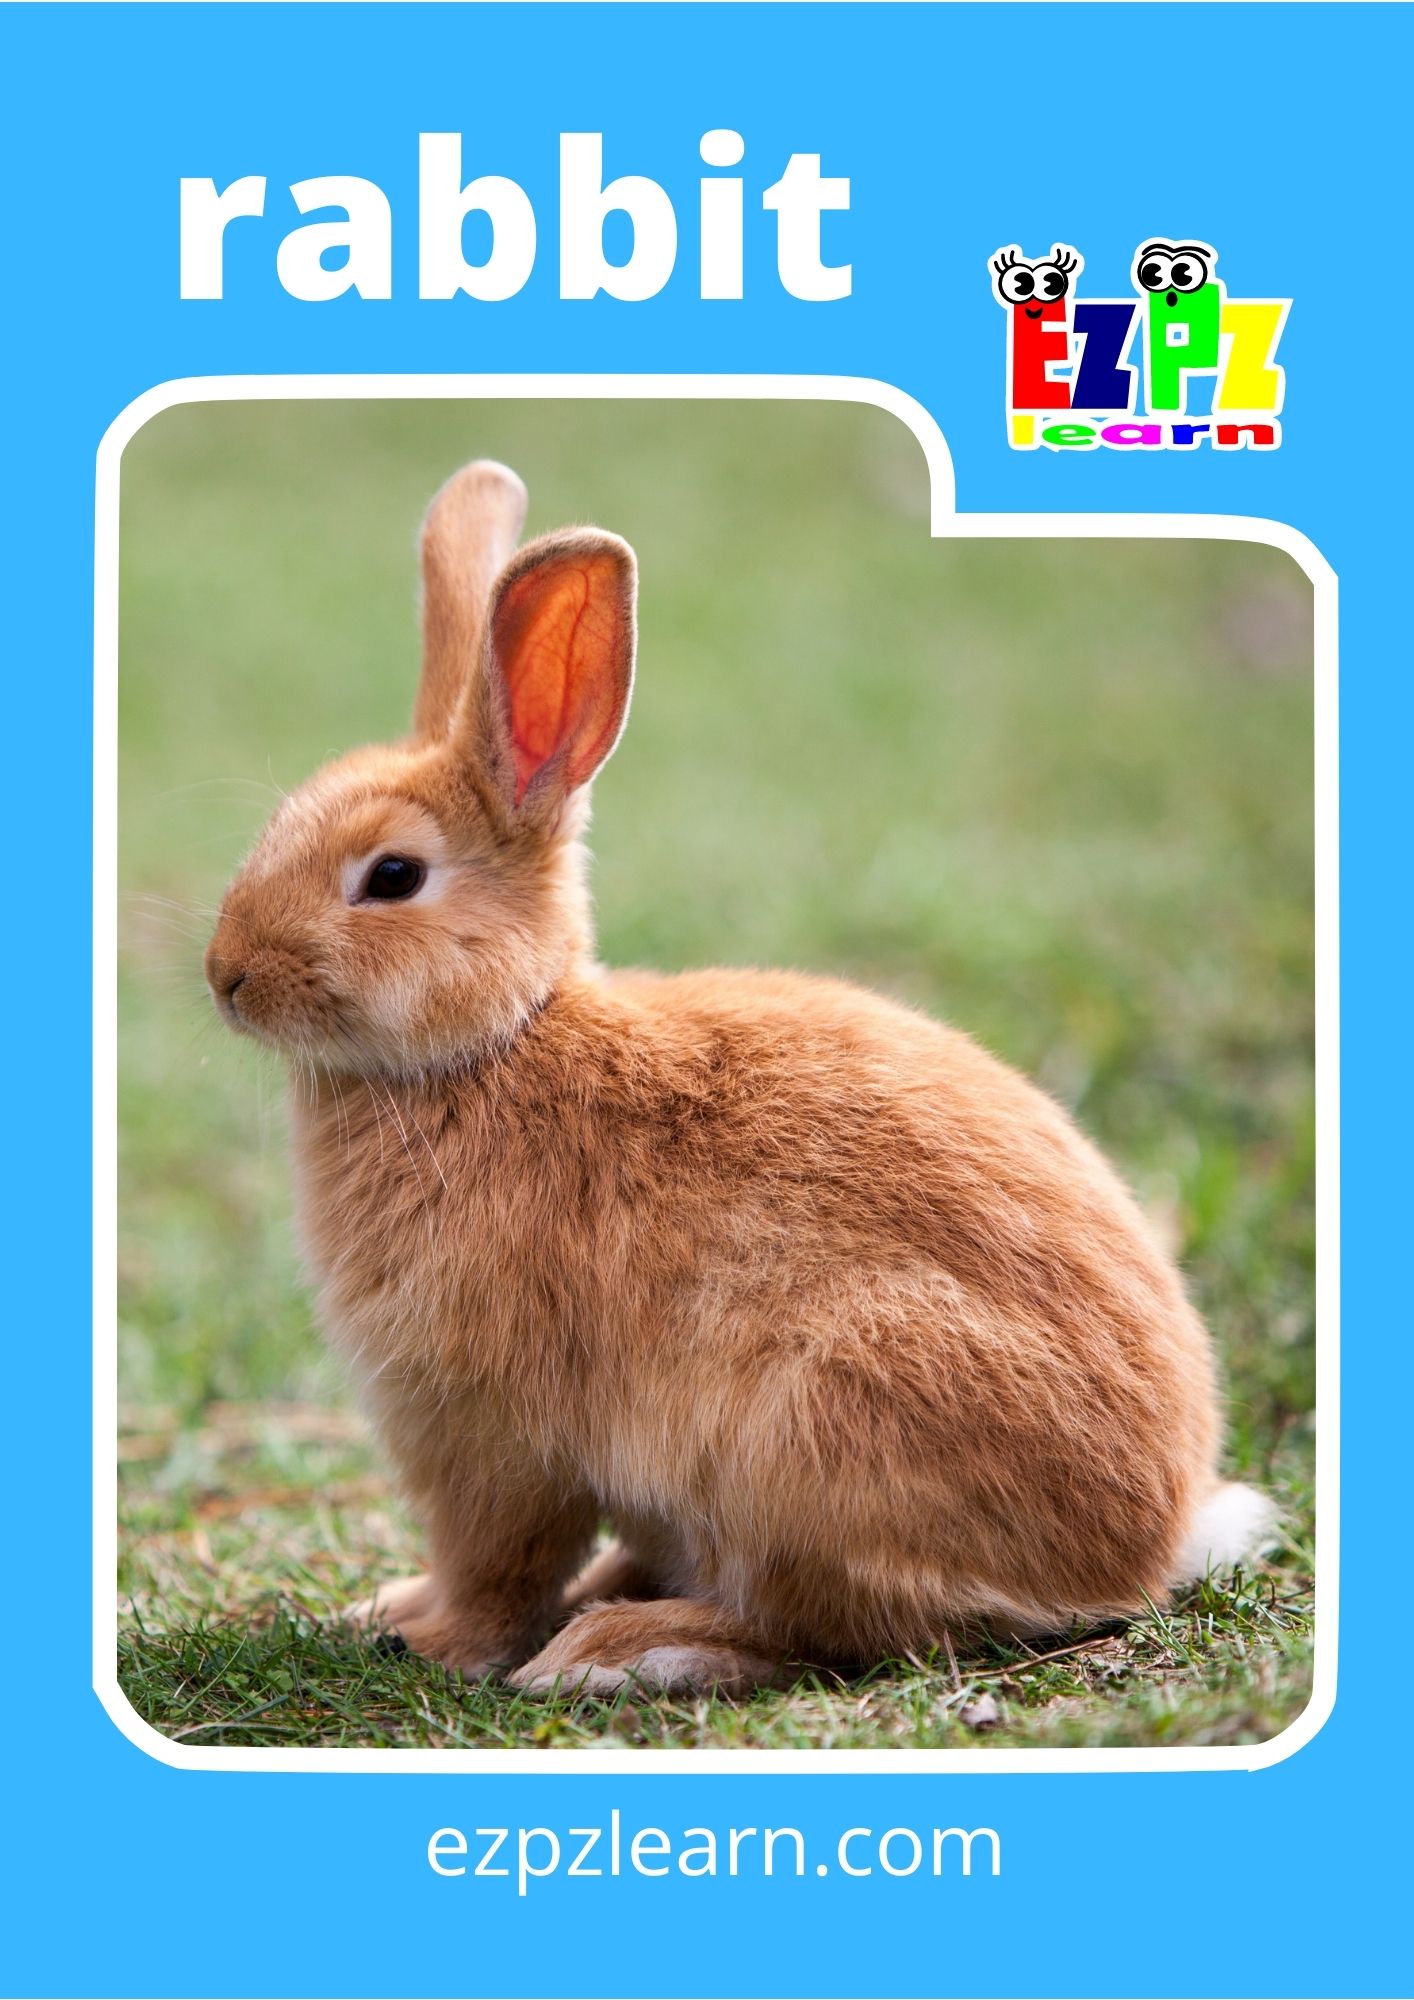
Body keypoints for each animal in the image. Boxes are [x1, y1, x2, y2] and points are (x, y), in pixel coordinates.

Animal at [203, 458, 1275, 1697]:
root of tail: (1140, 1543)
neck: (495, 1042)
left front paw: (429, 1636)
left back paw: (621, 1648)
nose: (225, 975)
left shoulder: (488, 1434)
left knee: (832, 1622)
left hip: (814, 1431)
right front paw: (386, 1606)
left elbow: (498, 1563)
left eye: (391, 876)